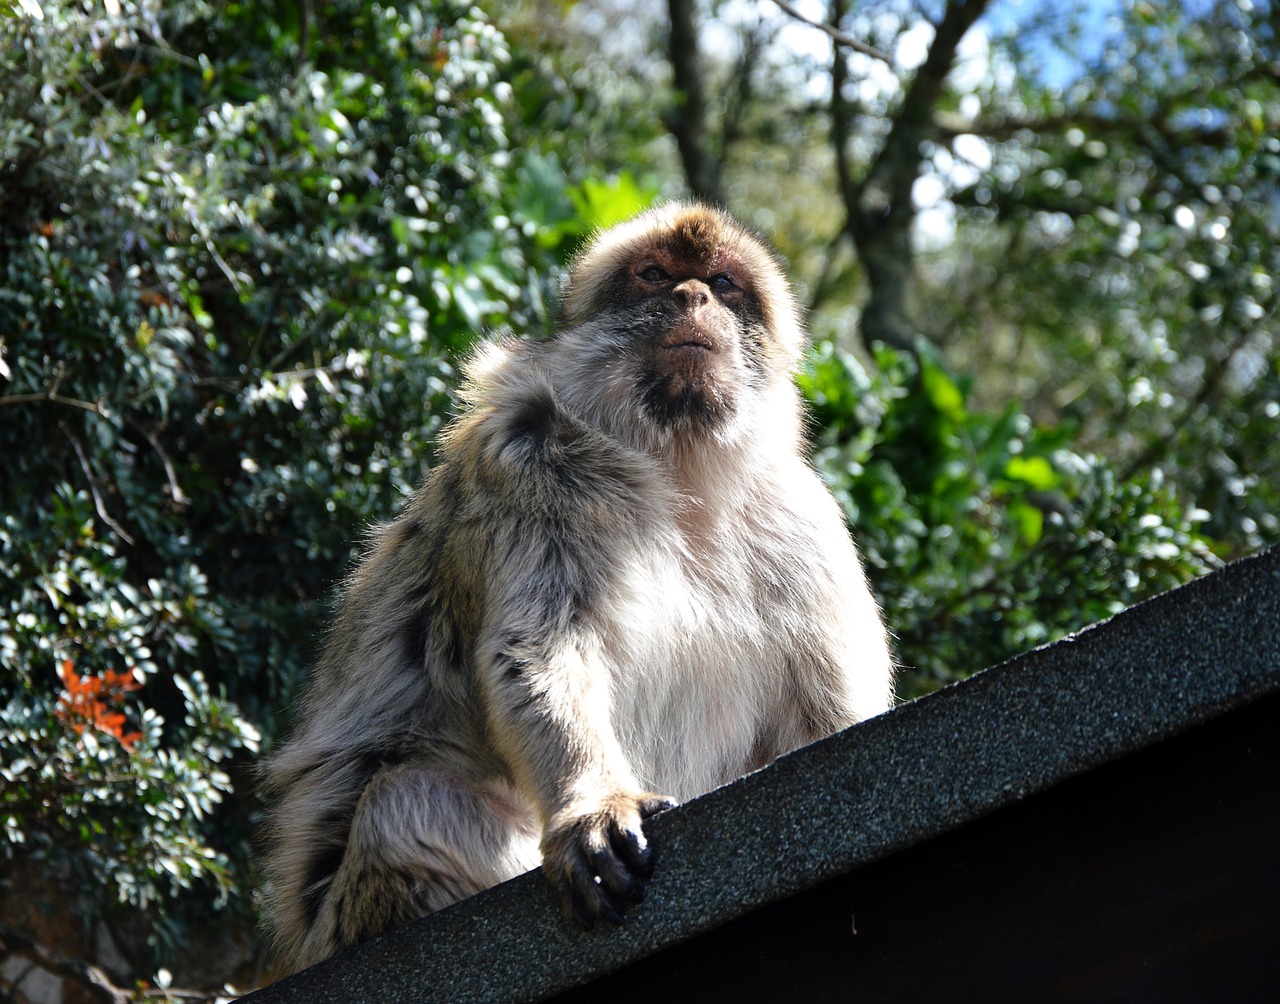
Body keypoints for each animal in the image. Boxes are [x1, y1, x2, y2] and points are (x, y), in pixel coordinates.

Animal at [259, 198, 896, 973]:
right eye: (654, 275)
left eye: (722, 283)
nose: (693, 296)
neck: (680, 469)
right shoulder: (532, 463)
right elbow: (537, 647)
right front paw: (592, 804)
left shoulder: (804, 521)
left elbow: (827, 711)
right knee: (405, 808)